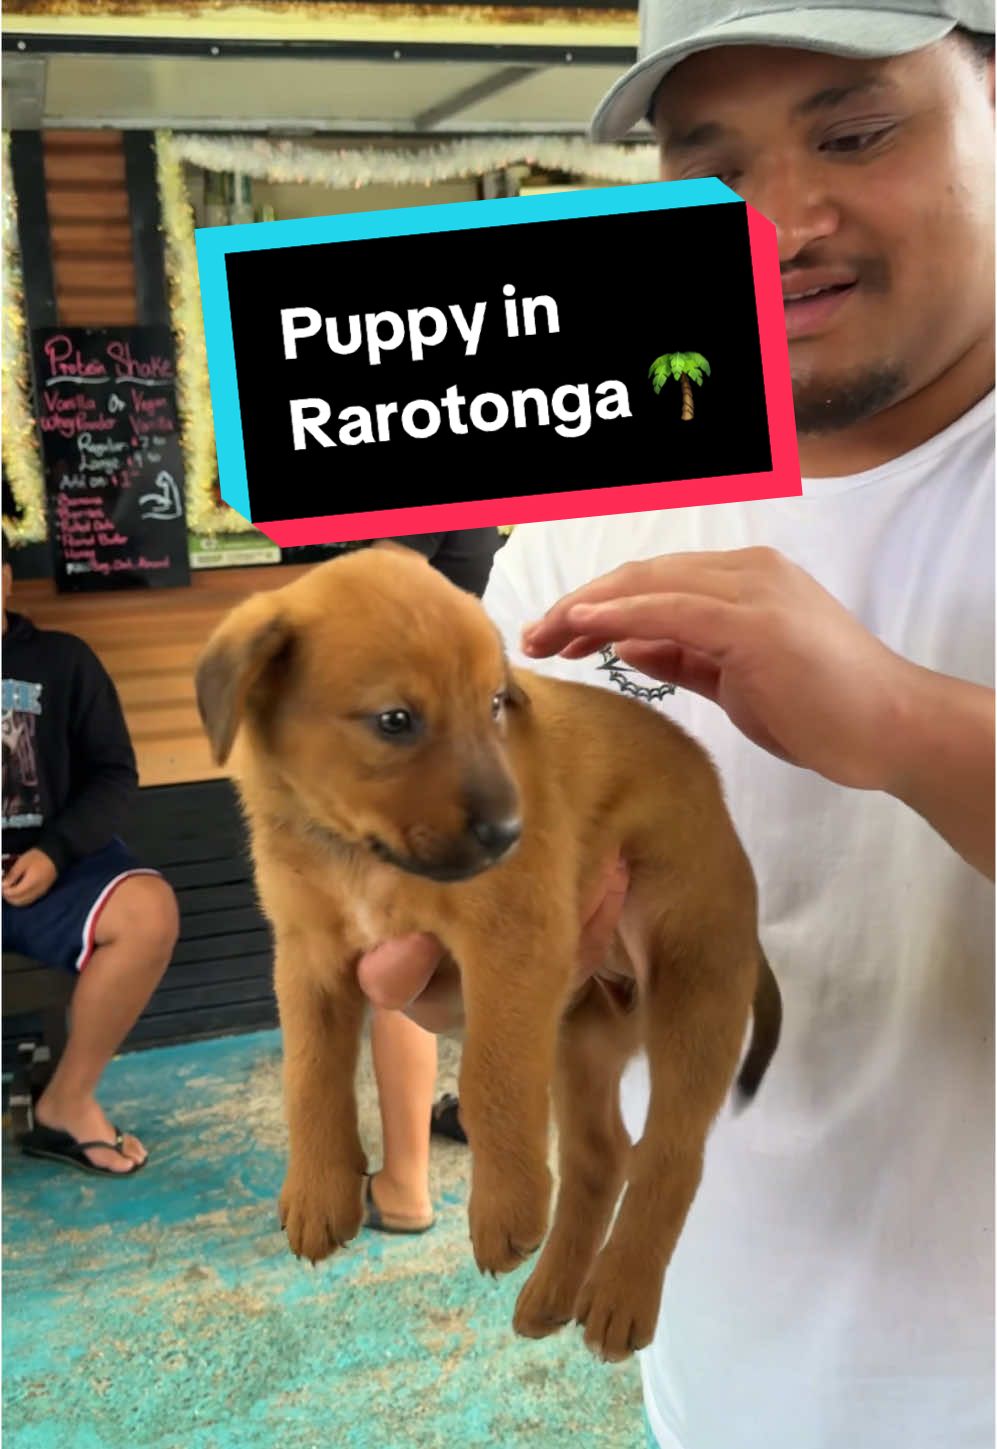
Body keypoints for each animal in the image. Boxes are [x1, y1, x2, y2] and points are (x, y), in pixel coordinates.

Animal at [191, 544, 776, 1356]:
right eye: (395, 721)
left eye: (496, 703)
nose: (508, 836)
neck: (358, 854)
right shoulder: (307, 960)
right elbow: (308, 1075)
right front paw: (315, 1191)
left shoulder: (510, 943)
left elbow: (488, 1077)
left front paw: (504, 1209)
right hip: (579, 1037)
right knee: (602, 1157)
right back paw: (552, 1294)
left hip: (692, 993)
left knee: (671, 1155)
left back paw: (619, 1296)